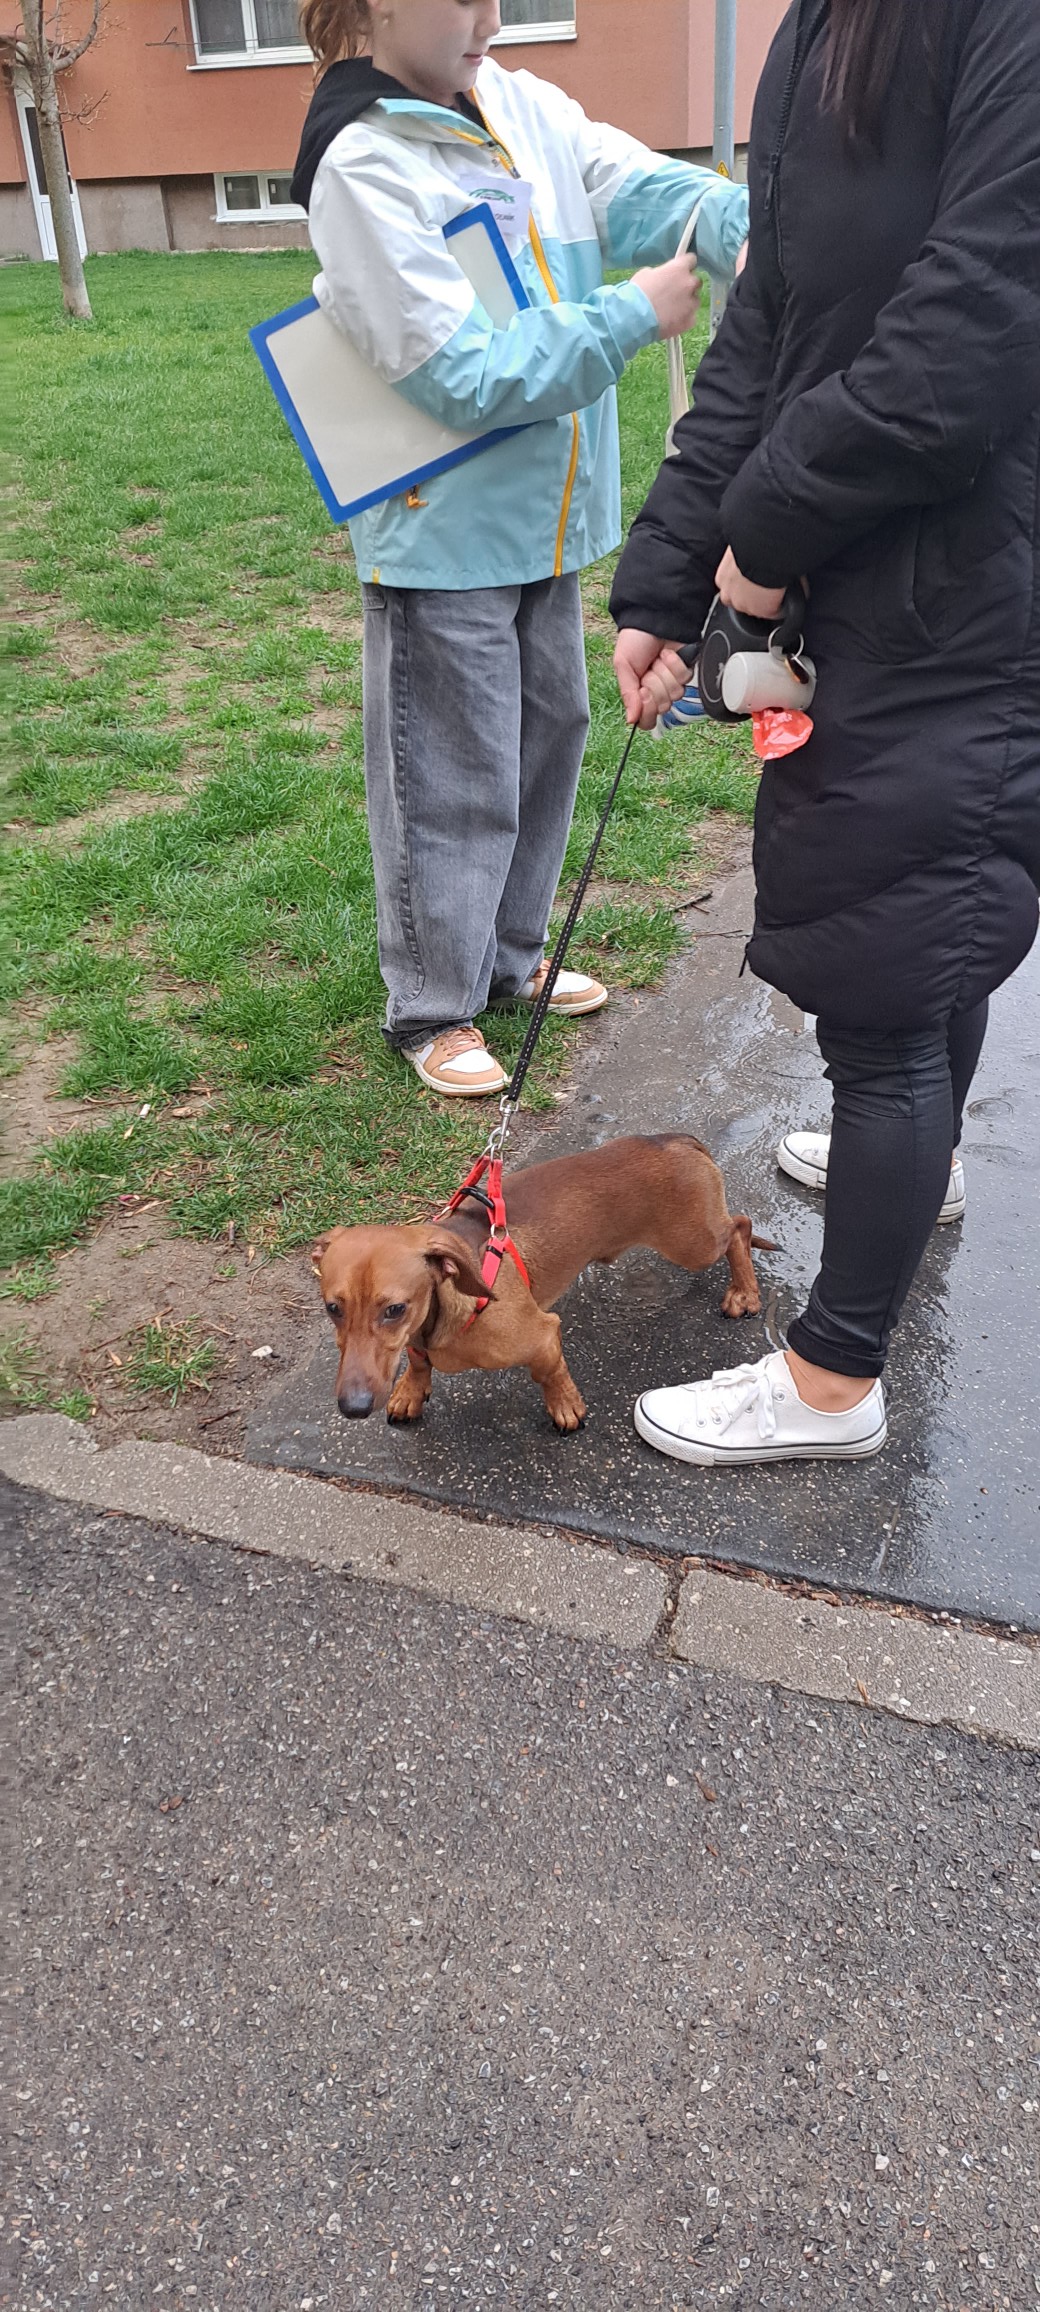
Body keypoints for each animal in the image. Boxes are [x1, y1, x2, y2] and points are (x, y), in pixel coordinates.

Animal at [312, 1133, 772, 1433]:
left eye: (395, 1309)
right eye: (333, 1309)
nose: (353, 1409)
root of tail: (675, 1140)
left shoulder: (542, 1335)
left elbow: (549, 1372)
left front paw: (565, 1406)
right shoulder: (416, 1342)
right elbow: (419, 1361)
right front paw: (411, 1389)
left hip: (693, 1244)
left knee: (740, 1228)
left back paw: (743, 1292)